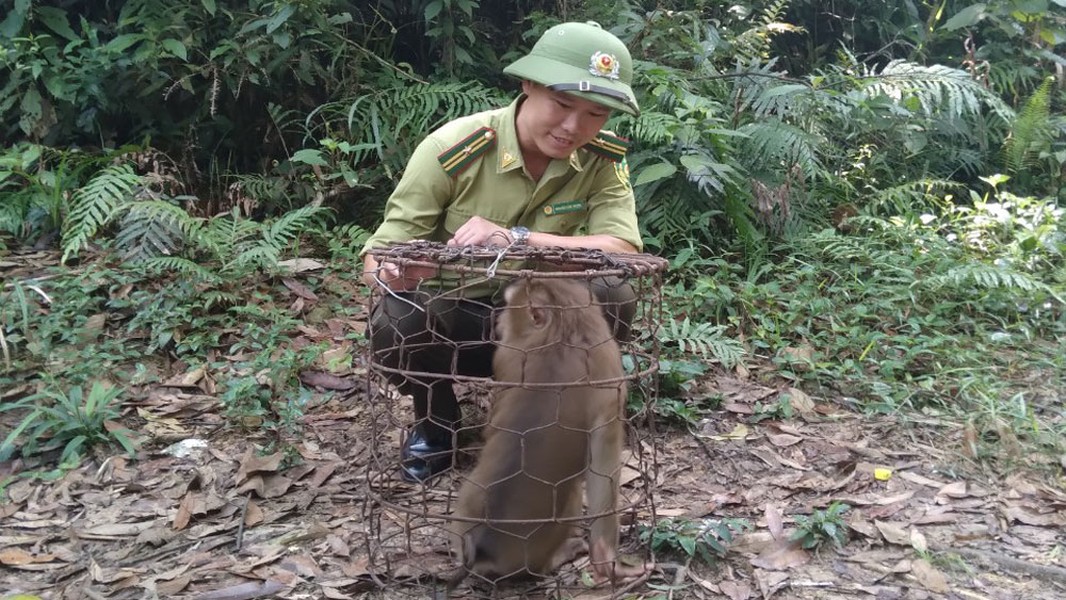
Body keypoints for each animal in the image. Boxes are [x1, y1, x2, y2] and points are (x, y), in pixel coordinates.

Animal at [443, 279, 648, 596]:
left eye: (507, 306)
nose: (497, 322)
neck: (562, 333)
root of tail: (481, 544)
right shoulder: (610, 377)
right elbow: (603, 468)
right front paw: (607, 559)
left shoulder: (508, 354)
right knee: (573, 494)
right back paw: (557, 558)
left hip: (460, 525)